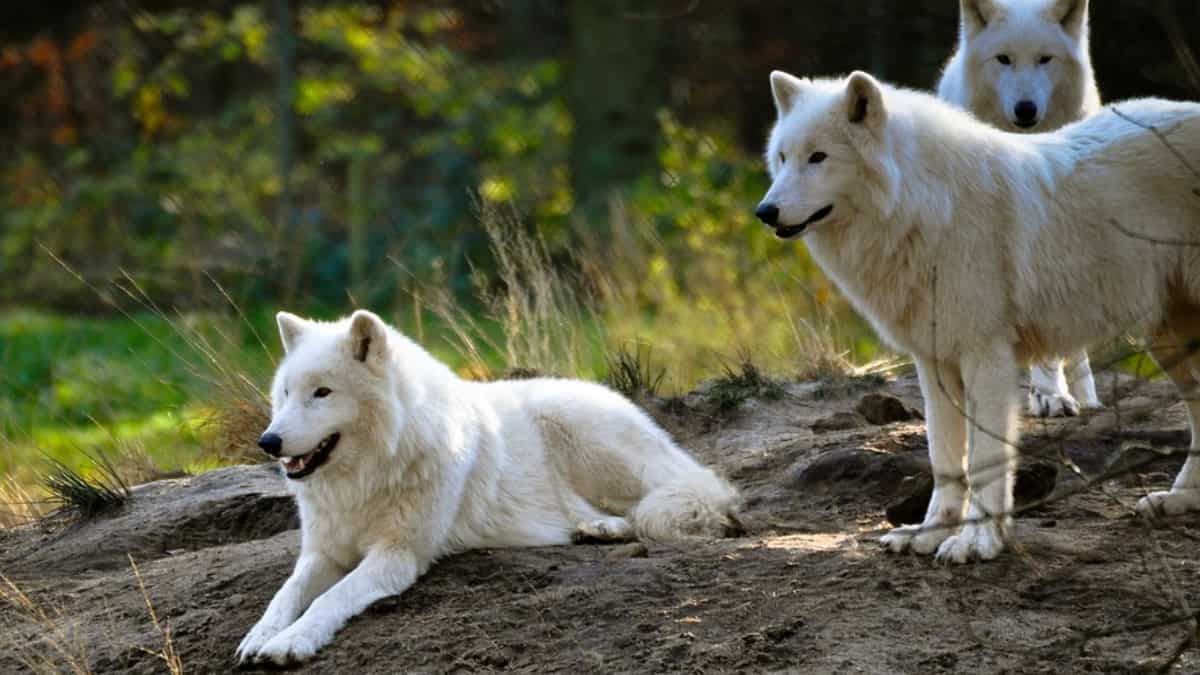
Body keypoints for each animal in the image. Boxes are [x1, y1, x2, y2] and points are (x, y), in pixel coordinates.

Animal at [235, 310, 739, 665]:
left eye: (322, 393)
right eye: (285, 393)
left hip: (581, 435)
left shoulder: (398, 555)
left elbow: (329, 598)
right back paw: (595, 529)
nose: (268, 442)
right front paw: (259, 636)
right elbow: (286, 594)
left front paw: (290, 642)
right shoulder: (322, 553)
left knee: (682, 499)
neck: (366, 477)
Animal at [755, 70, 1200, 562]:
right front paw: (929, 533)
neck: (926, 208)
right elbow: (946, 460)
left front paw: (978, 543)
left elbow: (986, 460)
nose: (764, 212)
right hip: (1168, 339)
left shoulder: (986, 359)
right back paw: (1180, 499)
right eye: (782, 157)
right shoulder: (934, 363)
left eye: (818, 157)